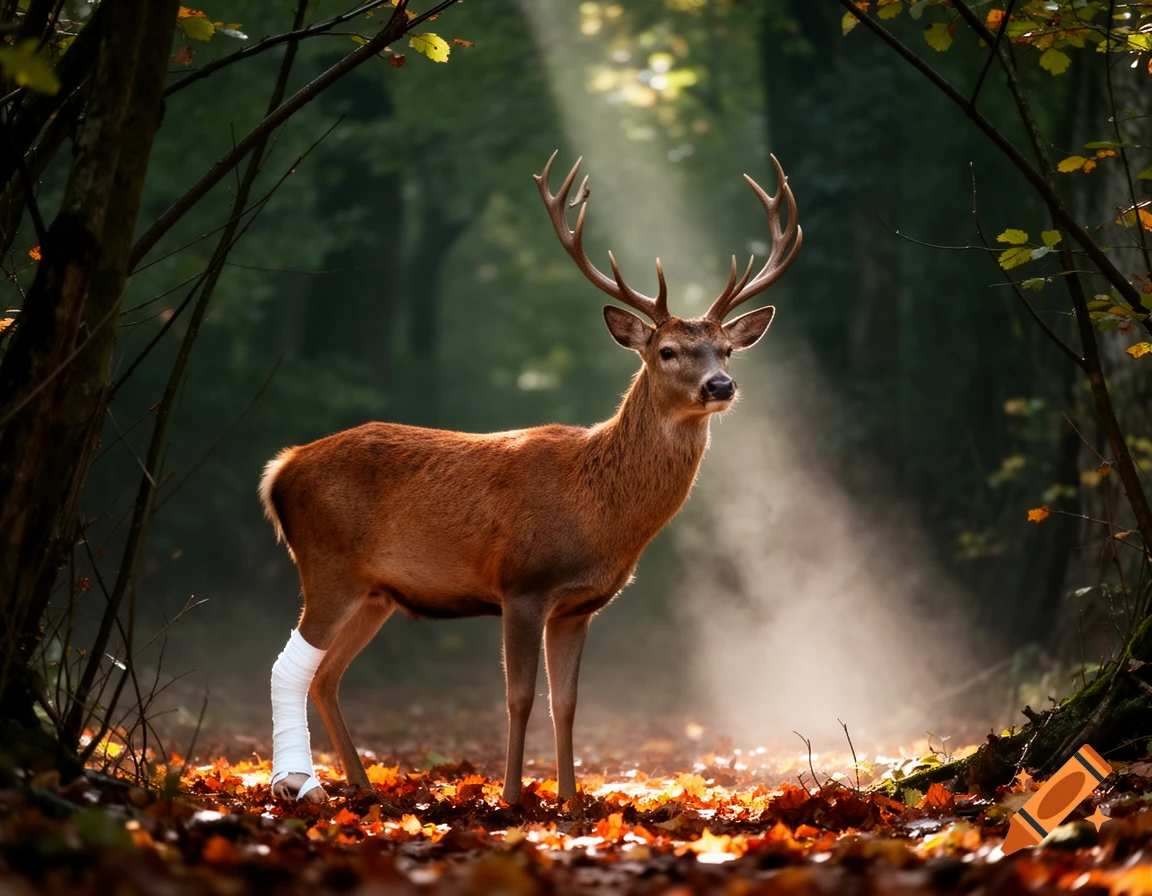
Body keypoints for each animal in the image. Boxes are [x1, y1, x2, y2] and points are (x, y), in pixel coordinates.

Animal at [260, 151, 801, 805]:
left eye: (726, 349)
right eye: (668, 350)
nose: (720, 386)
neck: (596, 508)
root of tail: (280, 469)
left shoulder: (578, 606)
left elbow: (566, 703)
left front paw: (568, 799)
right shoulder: (521, 583)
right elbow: (519, 697)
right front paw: (513, 797)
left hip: (375, 591)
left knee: (327, 675)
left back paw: (362, 788)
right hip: (327, 563)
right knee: (289, 665)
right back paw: (299, 784)